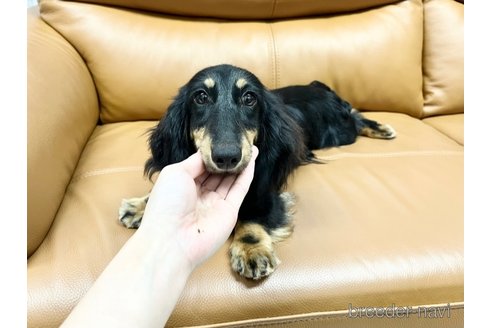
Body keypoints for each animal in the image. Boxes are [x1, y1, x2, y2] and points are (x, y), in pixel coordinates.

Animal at [119, 64, 396, 280]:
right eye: (200, 97)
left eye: (250, 98)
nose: (227, 157)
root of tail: (318, 86)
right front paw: (140, 206)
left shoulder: (266, 190)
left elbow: (252, 217)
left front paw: (252, 251)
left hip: (337, 133)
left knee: (355, 118)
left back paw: (381, 128)